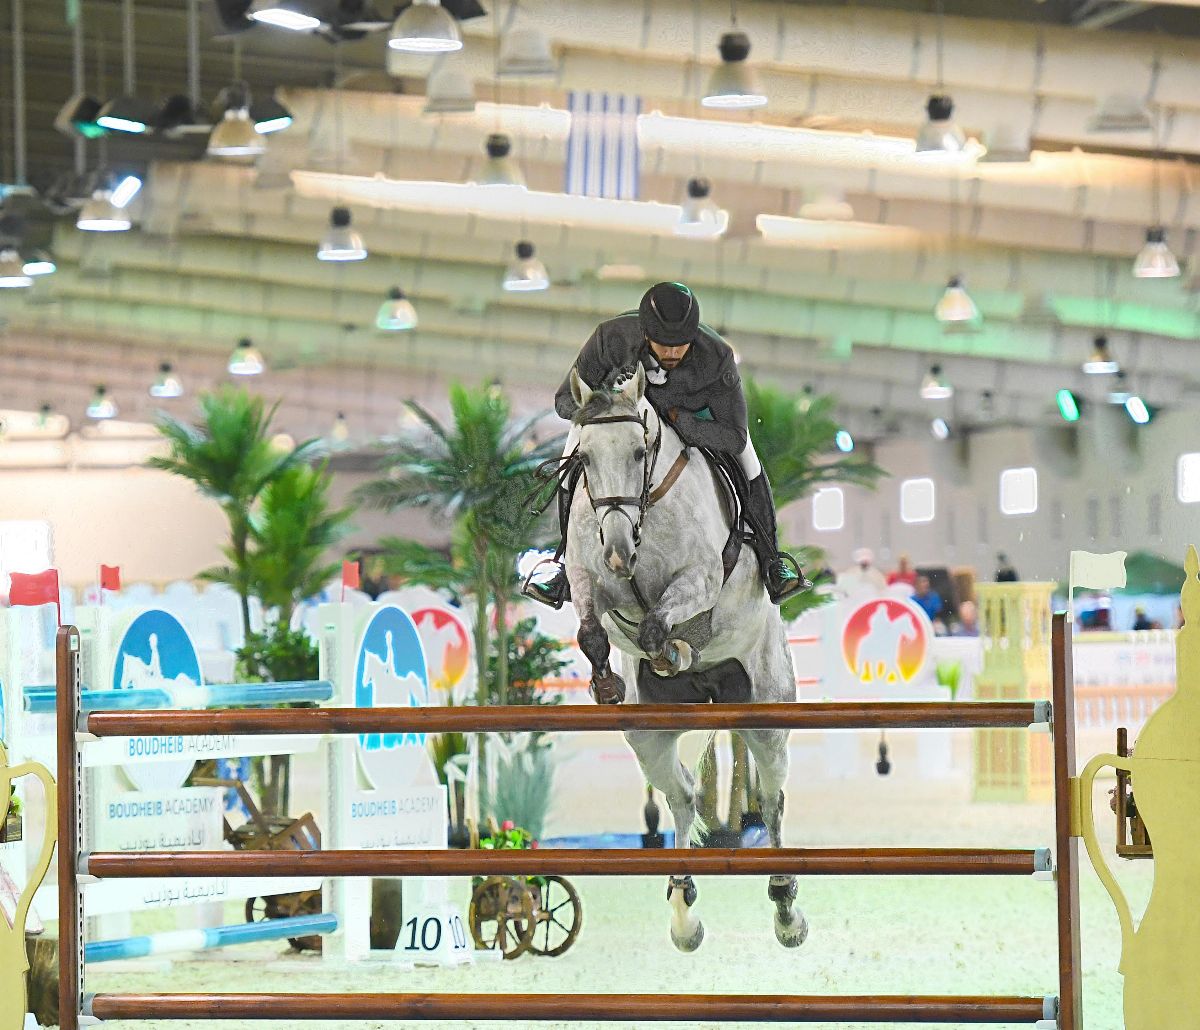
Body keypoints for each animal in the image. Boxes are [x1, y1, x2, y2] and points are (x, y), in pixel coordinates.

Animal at [561, 364, 806, 950]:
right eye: (584, 458)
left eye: (638, 451)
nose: (618, 552)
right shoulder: (588, 580)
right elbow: (591, 630)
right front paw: (606, 684)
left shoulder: (699, 579)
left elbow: (658, 623)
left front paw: (674, 648)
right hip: (648, 736)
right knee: (683, 794)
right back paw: (682, 910)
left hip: (766, 715)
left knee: (772, 798)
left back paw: (786, 908)